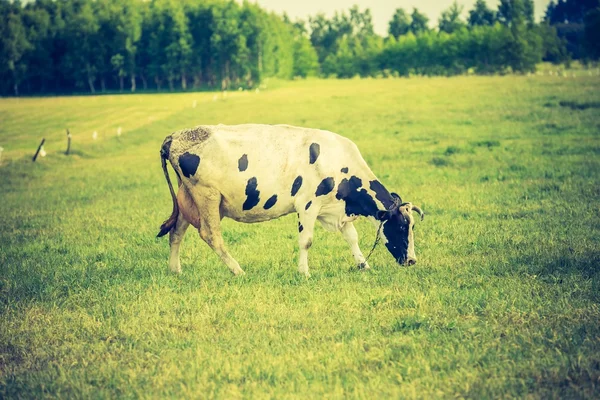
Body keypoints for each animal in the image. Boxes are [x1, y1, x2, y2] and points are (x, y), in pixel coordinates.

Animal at [157, 123, 424, 276]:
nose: (412, 260)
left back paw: (175, 270)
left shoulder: (336, 209)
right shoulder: (308, 205)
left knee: (176, 232)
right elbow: (306, 241)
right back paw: (237, 270)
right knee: (211, 235)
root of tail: (175, 136)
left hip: (187, 199)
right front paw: (304, 272)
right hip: (207, 196)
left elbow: (352, 237)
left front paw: (362, 265)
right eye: (402, 226)